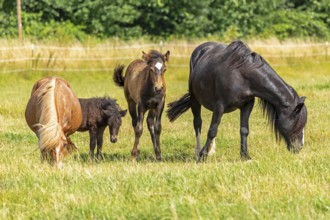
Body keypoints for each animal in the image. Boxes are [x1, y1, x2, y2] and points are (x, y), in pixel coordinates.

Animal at [168, 40, 306, 161]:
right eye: (298, 123)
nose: (299, 148)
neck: (242, 75)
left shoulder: (247, 105)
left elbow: (244, 130)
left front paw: (245, 156)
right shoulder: (219, 106)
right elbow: (212, 130)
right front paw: (202, 155)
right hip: (195, 99)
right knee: (197, 123)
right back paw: (198, 152)